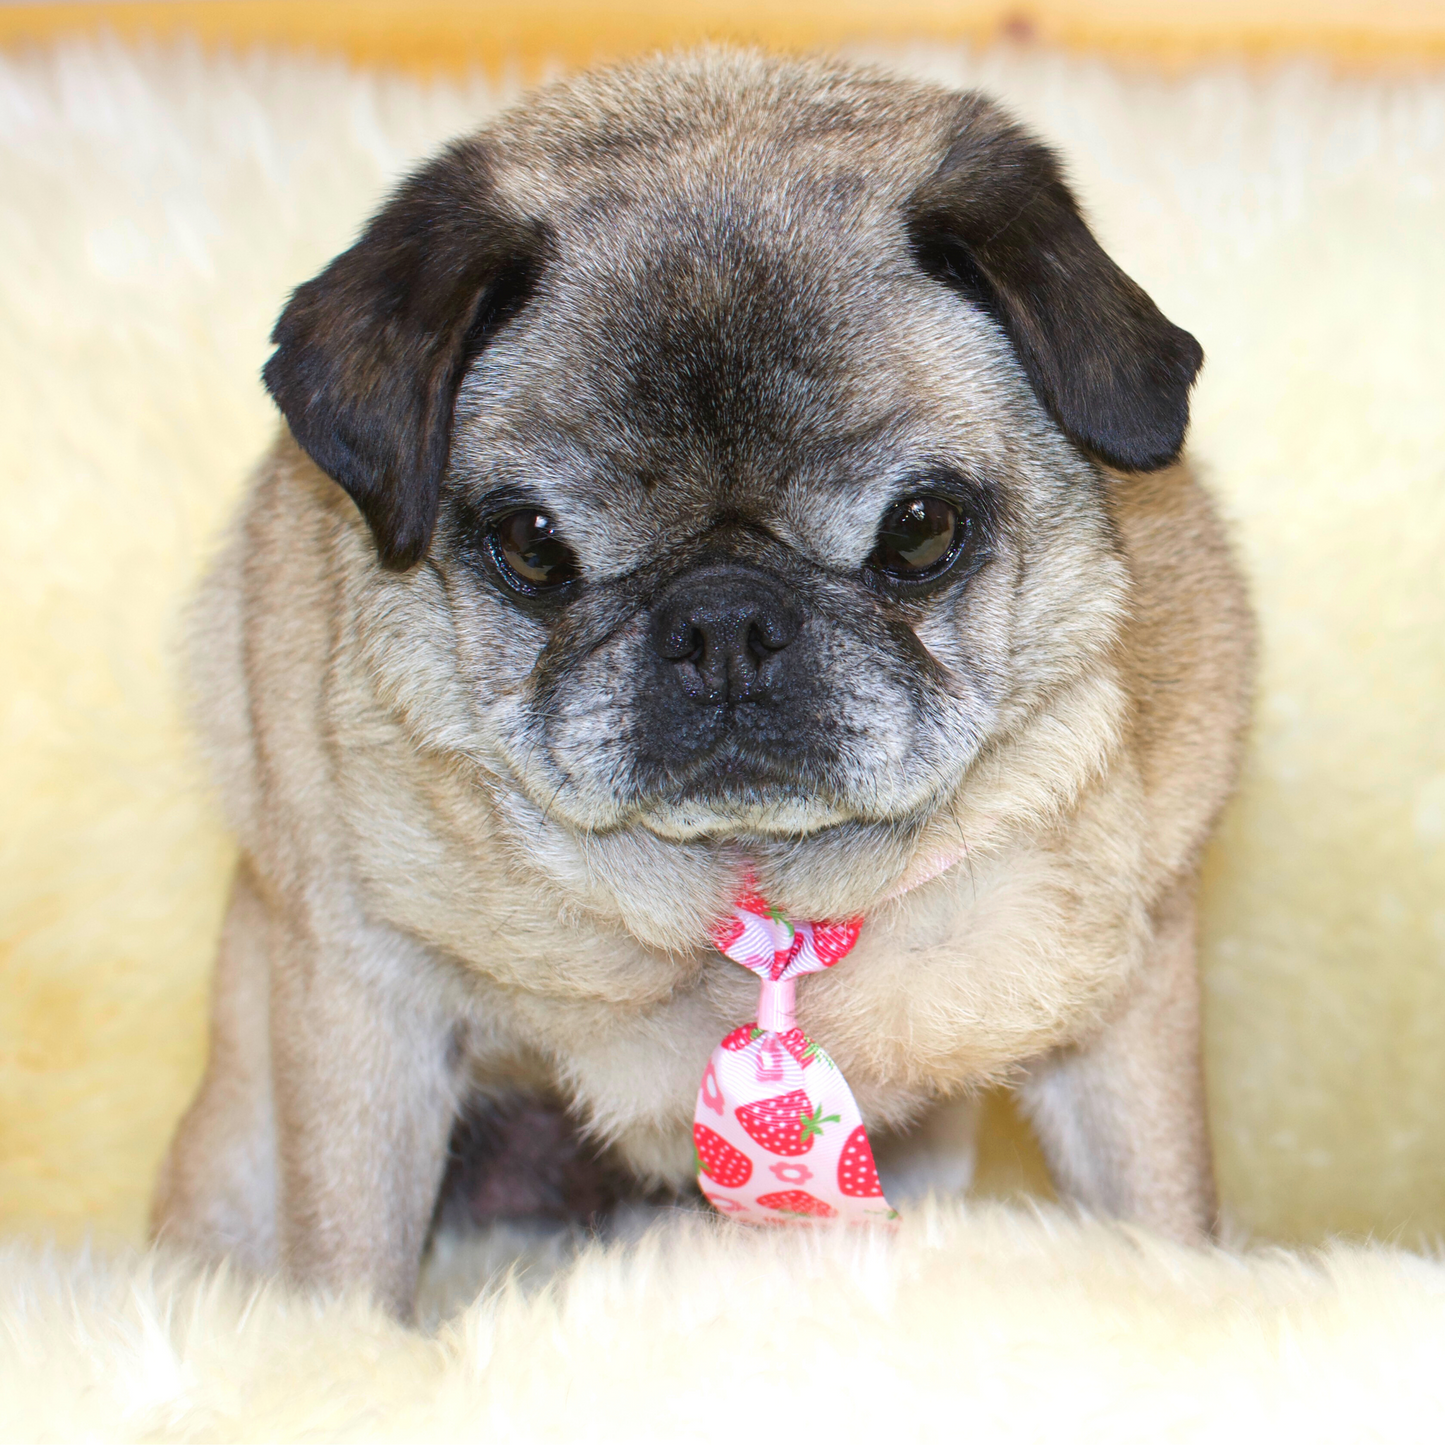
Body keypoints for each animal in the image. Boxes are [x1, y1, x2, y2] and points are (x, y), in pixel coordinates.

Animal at [149, 45, 1254, 1317]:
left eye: (920, 530)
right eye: (532, 546)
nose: (723, 622)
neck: (753, 893)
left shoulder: (1120, 1005)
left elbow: (1158, 1209)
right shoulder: (359, 1002)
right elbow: (346, 1256)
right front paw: (347, 1349)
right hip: (240, 1126)